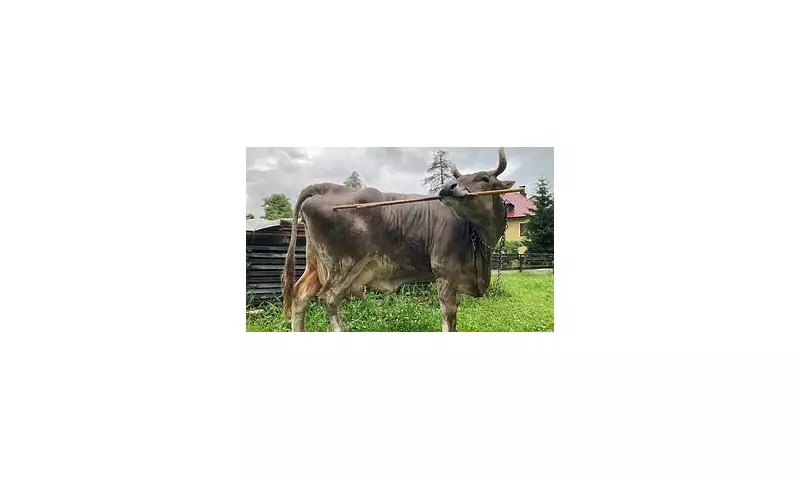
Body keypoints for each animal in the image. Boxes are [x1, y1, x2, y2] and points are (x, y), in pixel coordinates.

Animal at [282, 147, 516, 332]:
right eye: (458, 180)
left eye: (484, 179)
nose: (448, 187)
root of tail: (328, 187)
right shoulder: (445, 276)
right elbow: (448, 319)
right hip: (344, 265)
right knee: (328, 298)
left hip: (317, 263)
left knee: (300, 295)